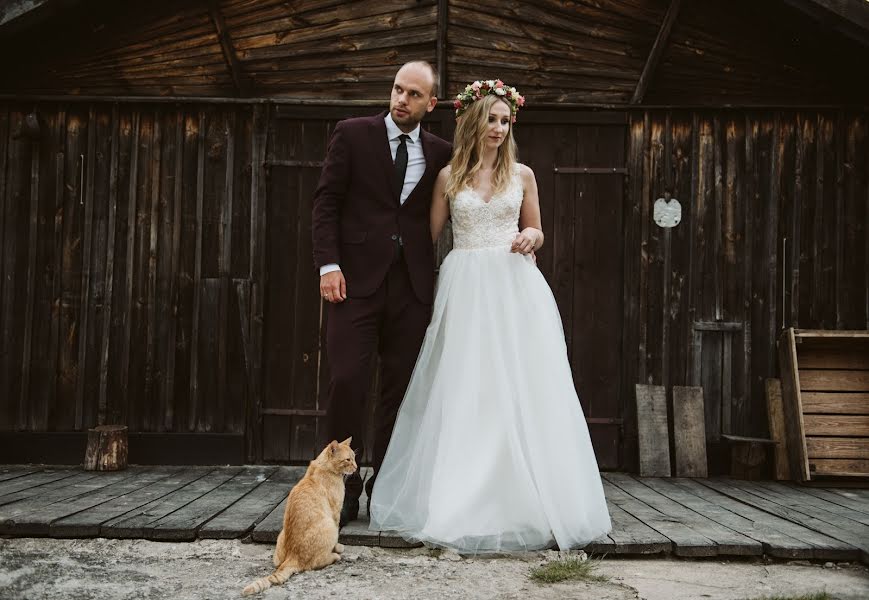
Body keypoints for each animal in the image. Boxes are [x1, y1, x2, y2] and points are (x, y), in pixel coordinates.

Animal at [241, 436, 356, 596]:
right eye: (348, 460)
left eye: (354, 458)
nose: (356, 467)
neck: (323, 466)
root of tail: (292, 557)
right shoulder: (335, 513)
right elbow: (336, 540)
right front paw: (337, 548)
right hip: (329, 527)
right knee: (315, 563)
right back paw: (335, 556)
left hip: (281, 536)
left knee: (278, 562)